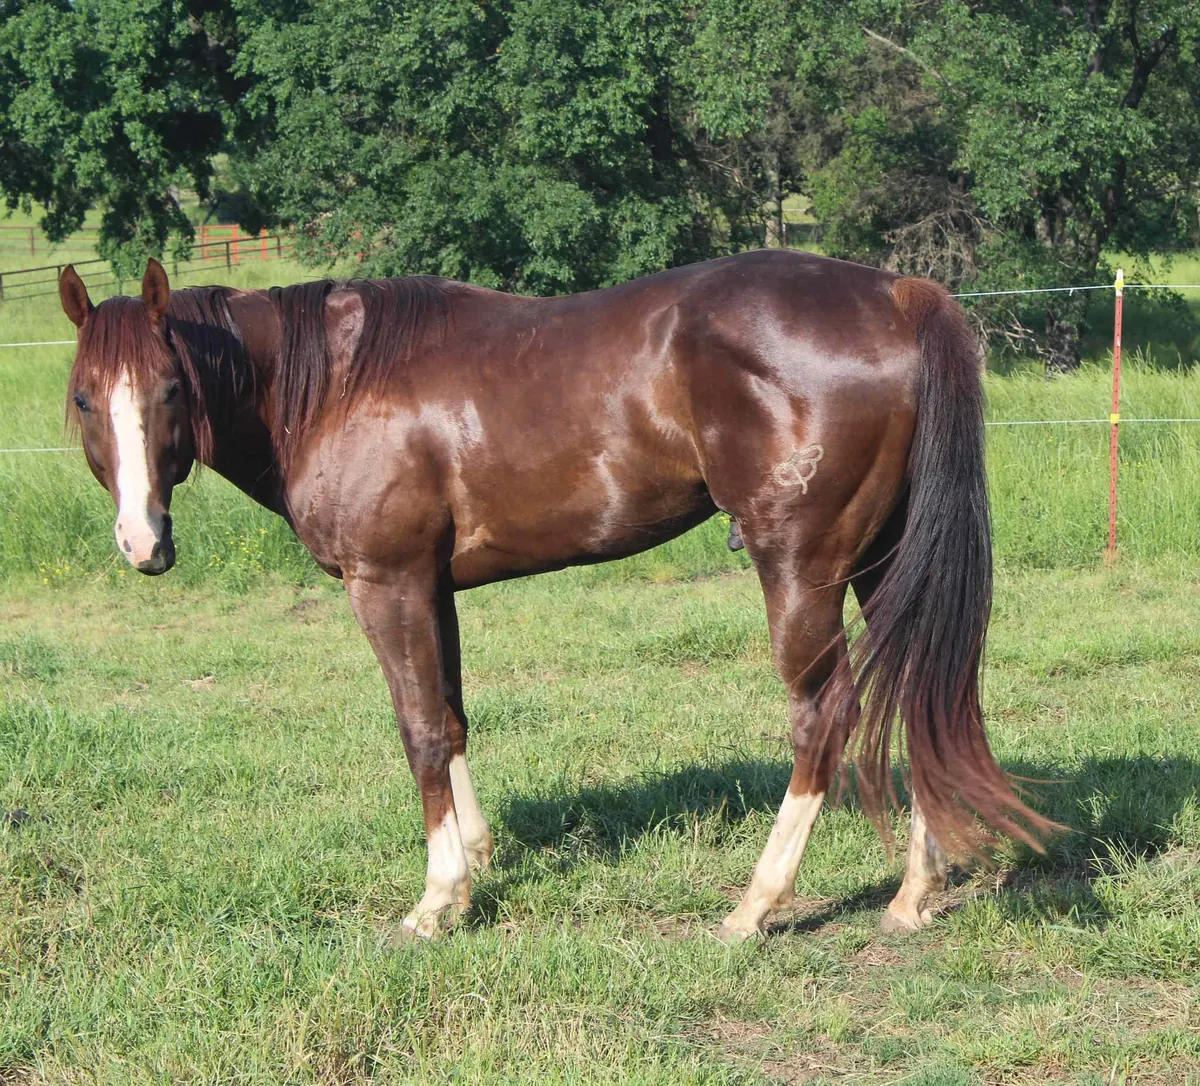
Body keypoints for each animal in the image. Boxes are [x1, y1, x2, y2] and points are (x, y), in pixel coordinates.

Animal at [58, 250, 1054, 941]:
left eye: (172, 389)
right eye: (82, 398)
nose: (143, 543)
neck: (339, 381)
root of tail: (896, 294)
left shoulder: (387, 584)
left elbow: (419, 729)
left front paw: (438, 900)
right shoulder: (433, 587)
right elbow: (452, 714)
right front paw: (475, 859)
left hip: (799, 566)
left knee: (826, 712)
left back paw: (755, 906)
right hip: (887, 559)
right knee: (913, 688)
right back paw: (913, 895)